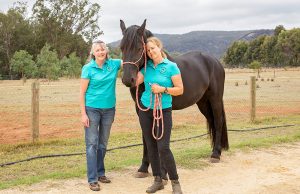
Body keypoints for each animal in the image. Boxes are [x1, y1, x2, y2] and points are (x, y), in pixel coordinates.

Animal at [118, 19, 229, 174]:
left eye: (140, 48)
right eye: (122, 48)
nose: (128, 79)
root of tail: (215, 62)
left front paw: (161, 169)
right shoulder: (140, 109)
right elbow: (146, 135)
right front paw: (144, 167)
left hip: (215, 99)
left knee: (218, 121)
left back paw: (216, 154)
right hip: (203, 102)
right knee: (212, 120)